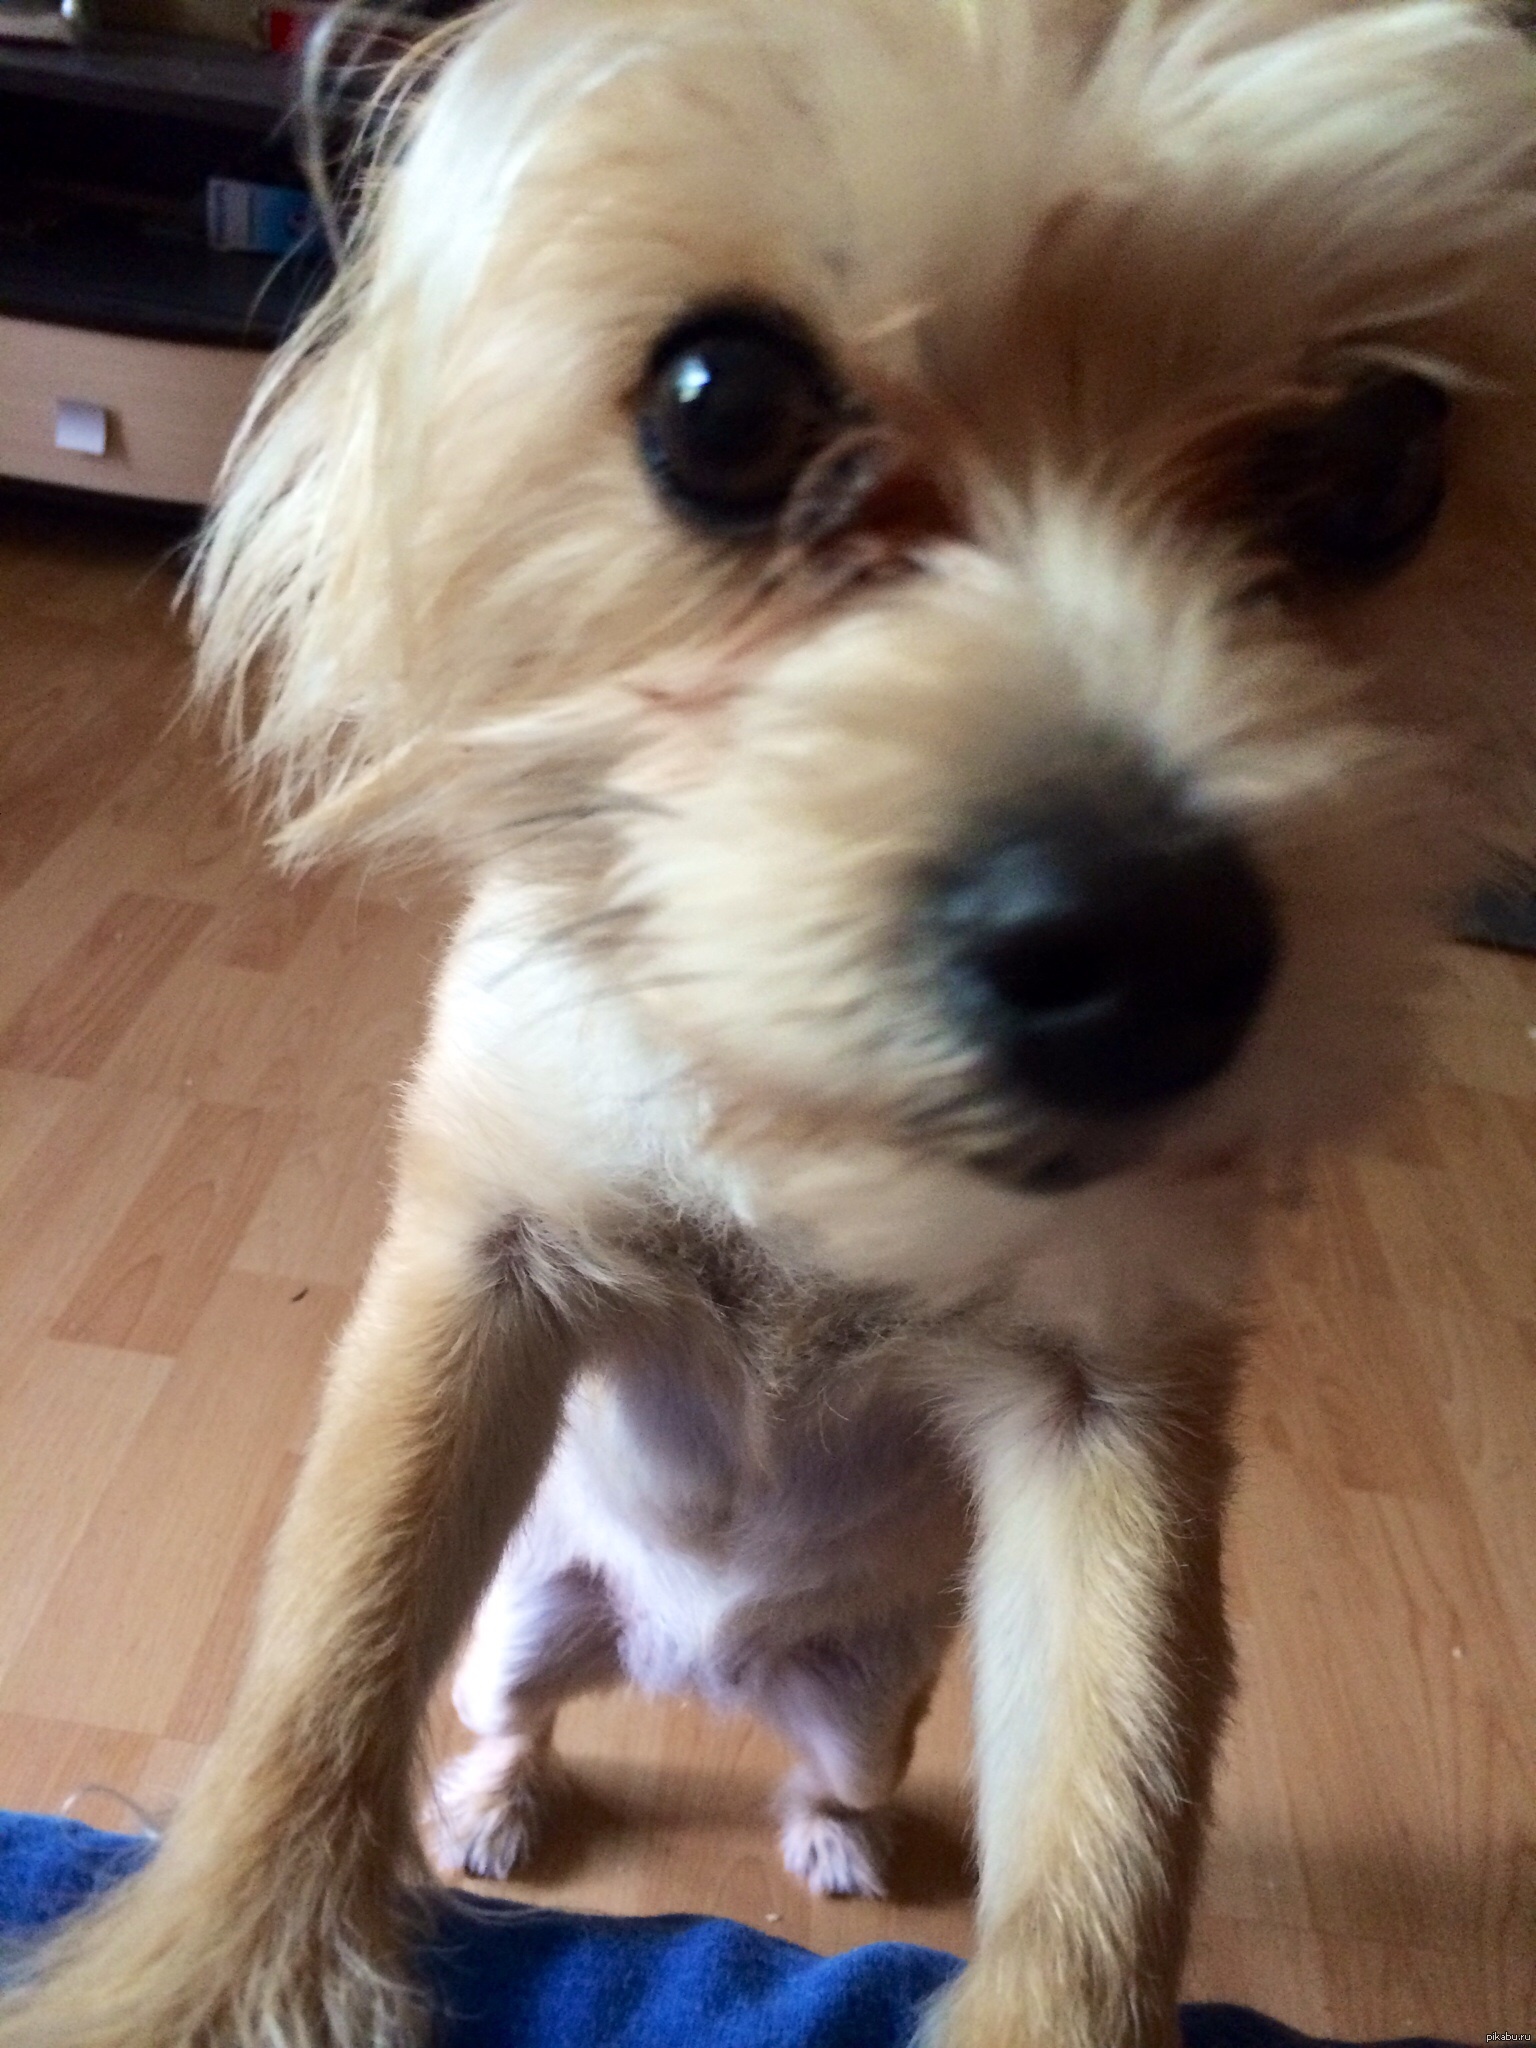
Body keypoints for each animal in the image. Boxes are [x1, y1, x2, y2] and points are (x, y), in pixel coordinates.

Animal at [3, 4, 1536, 2048]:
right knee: (495, 1706)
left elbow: (1116, 1809)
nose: (1142, 954)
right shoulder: (483, 1267)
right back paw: (496, 1799)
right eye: (721, 403)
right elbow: (326, 1659)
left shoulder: (1112, 1395)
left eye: (1383, 450)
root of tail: (690, 1662)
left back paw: (826, 1833)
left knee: (843, 1766)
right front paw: (220, 1969)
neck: (801, 1140)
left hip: (877, 1683)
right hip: (528, 1613)